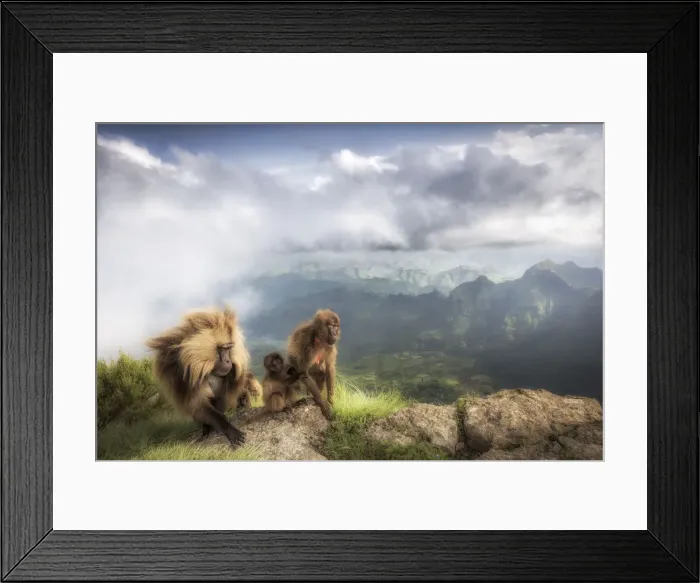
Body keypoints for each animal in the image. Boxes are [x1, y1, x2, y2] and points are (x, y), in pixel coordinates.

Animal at [145, 306, 252, 448]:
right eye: (222, 349)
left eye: (229, 348)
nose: (228, 361)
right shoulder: (189, 374)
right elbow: (198, 404)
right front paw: (229, 430)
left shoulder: (229, 373)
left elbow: (221, 395)